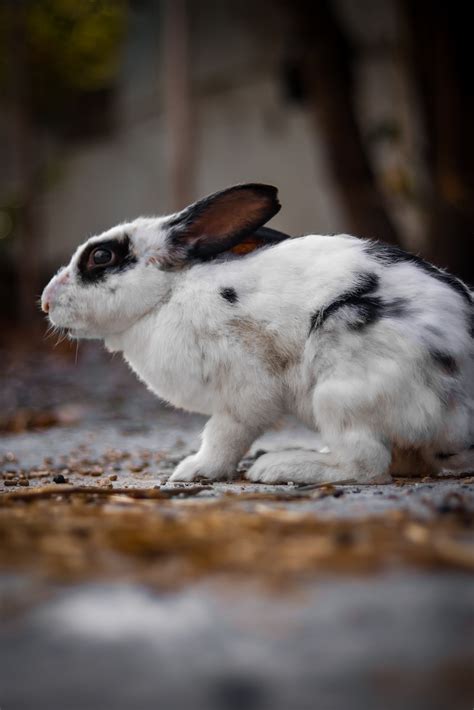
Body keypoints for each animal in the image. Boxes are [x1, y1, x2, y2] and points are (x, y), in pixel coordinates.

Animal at [41, 183, 474, 485]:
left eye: (101, 257)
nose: (45, 303)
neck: (168, 294)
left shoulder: (243, 392)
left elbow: (222, 434)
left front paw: (194, 470)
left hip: (342, 389)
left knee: (367, 465)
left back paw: (280, 467)